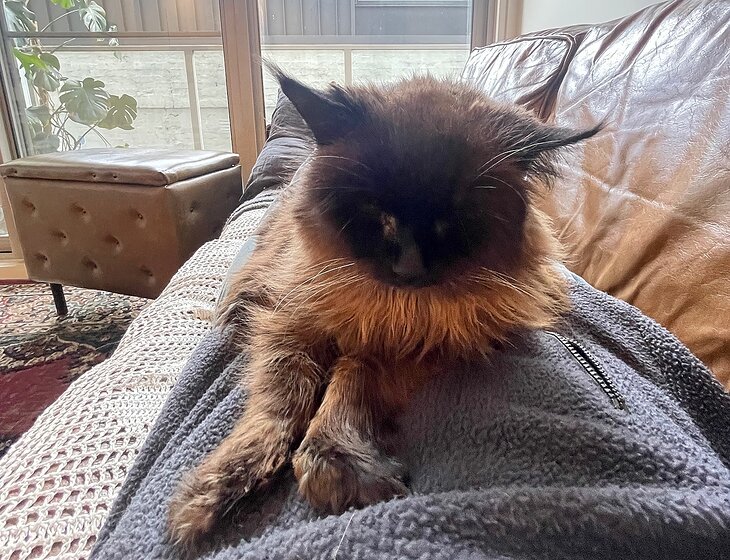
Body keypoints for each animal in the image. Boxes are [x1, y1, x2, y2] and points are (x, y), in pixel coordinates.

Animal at [167, 67, 600, 548]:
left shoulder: (413, 348)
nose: (409, 268)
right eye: (380, 213)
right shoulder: (289, 326)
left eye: (452, 219)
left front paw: (335, 463)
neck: (391, 306)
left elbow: (348, 385)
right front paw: (213, 492)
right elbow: (279, 405)